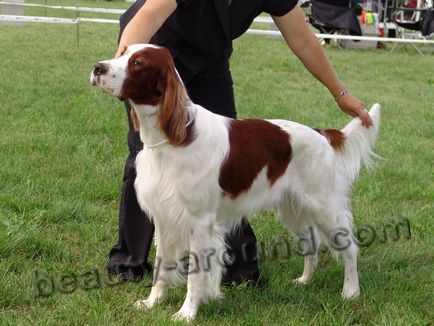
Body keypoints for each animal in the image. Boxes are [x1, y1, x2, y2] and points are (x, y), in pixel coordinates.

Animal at [90, 44, 380, 320]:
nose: (97, 68)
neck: (174, 137)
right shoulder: (164, 217)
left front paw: (187, 313)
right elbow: (162, 267)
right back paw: (305, 280)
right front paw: (152, 303)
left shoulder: (199, 221)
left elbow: (196, 274)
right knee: (310, 244)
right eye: (123, 52)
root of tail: (322, 135)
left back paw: (351, 291)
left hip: (323, 207)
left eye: (137, 62)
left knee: (349, 247)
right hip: (293, 209)